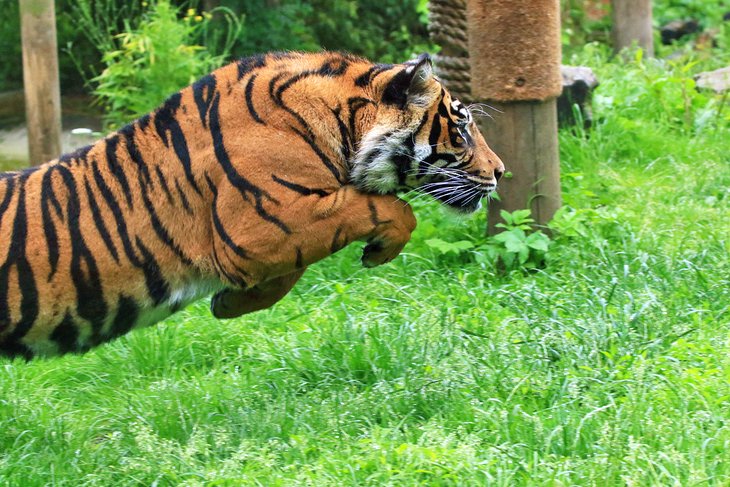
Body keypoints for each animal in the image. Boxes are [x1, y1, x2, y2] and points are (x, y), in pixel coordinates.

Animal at [0, 52, 500, 358]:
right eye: (462, 128)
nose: (500, 173)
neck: (342, 124)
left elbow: (294, 268)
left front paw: (230, 304)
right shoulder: (255, 229)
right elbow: (387, 208)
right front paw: (381, 250)